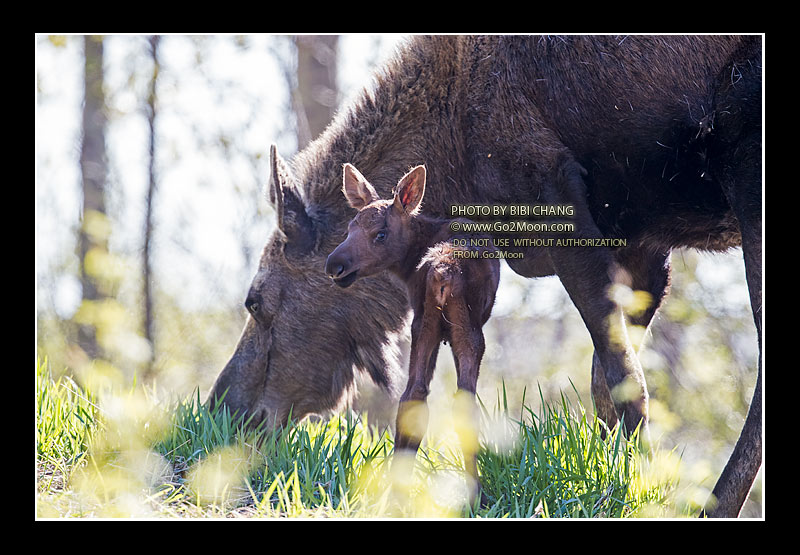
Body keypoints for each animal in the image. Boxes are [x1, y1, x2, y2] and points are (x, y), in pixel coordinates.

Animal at [324, 164, 500, 504]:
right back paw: (475, 493)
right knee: (464, 401)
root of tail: (444, 269)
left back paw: (396, 493)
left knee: (412, 396)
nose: (335, 265)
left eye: (380, 234)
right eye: (350, 228)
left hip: (424, 322)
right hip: (467, 329)